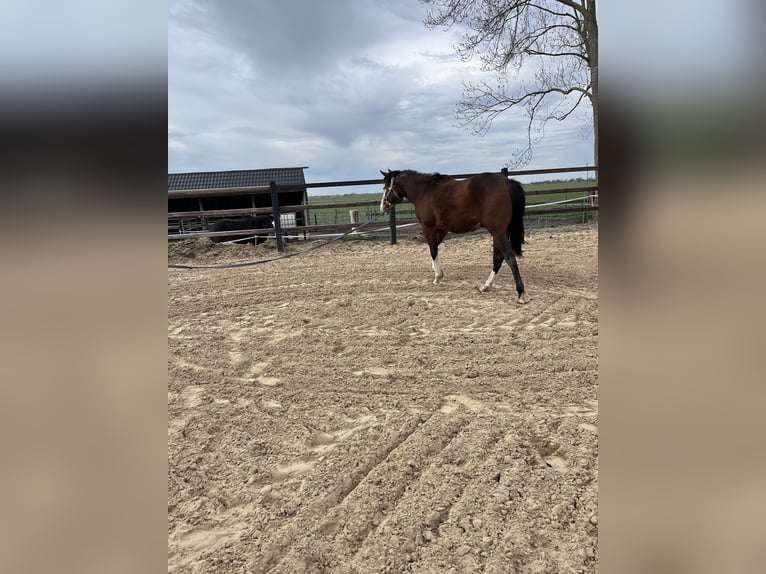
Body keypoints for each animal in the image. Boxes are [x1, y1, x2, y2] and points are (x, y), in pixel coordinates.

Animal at [380, 169, 528, 304]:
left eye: (386, 188)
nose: (382, 207)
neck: (424, 191)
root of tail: (507, 182)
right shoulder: (442, 230)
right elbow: (434, 247)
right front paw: (436, 271)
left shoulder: (428, 227)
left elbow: (433, 250)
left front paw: (437, 277)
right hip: (498, 233)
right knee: (498, 258)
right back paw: (485, 286)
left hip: (498, 232)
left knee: (509, 257)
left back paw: (521, 294)